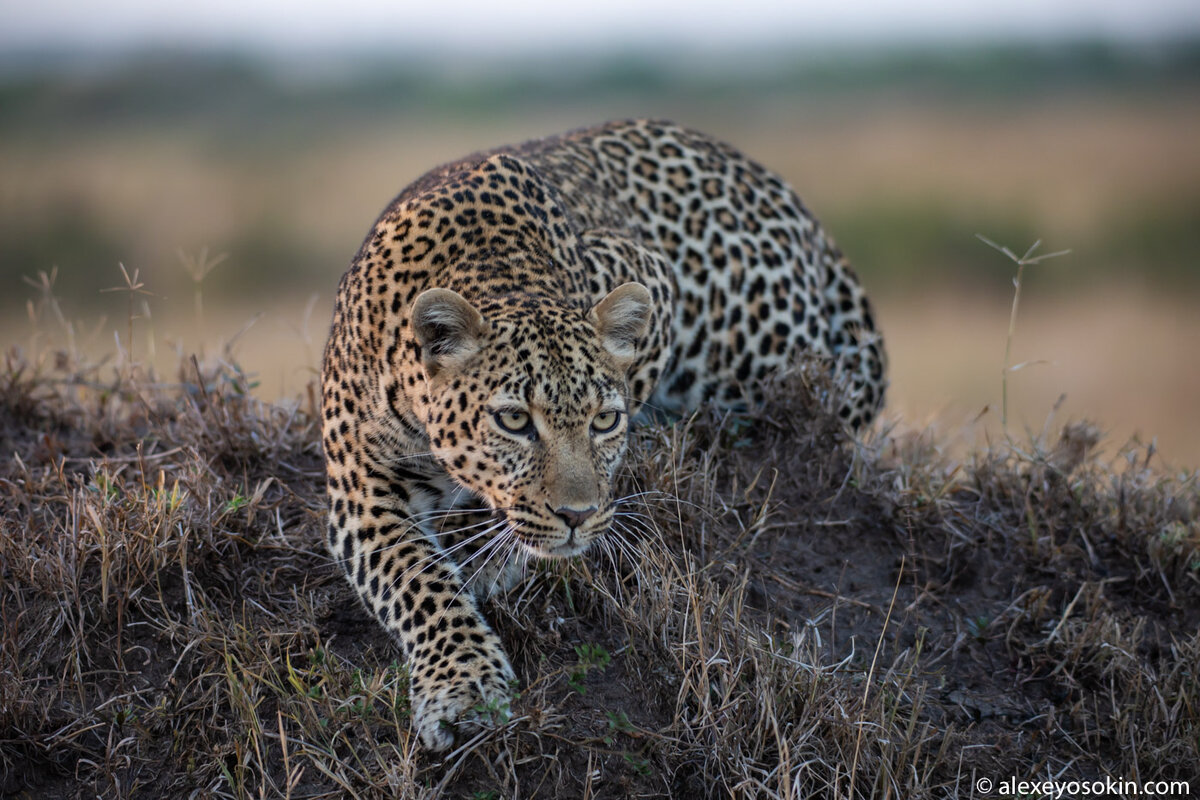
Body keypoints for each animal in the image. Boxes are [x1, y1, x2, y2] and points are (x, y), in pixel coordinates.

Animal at [324, 118, 888, 753]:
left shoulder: (651, 276)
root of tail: (776, 186)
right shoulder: (362, 485)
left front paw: (492, 550)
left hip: (752, 352)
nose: (576, 515)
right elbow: (417, 583)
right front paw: (464, 686)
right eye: (514, 420)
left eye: (604, 421)